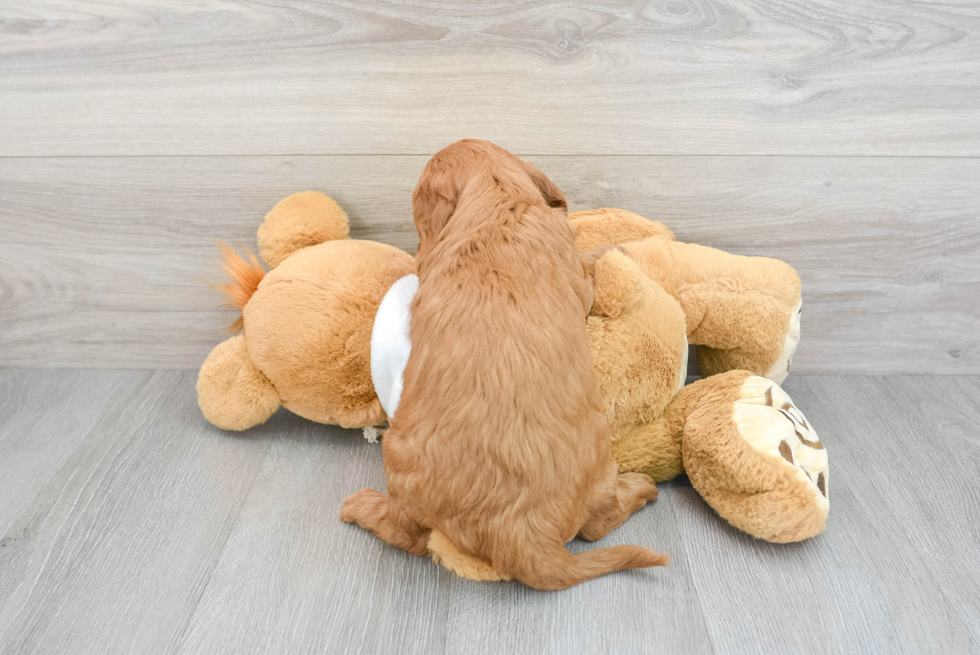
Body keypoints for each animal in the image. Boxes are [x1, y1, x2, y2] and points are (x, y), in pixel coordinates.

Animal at [338, 141, 668, 592]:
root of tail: (520, 537)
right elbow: (588, 265)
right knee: (595, 524)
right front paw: (611, 249)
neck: (498, 206)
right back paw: (642, 487)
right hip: (599, 464)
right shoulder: (577, 272)